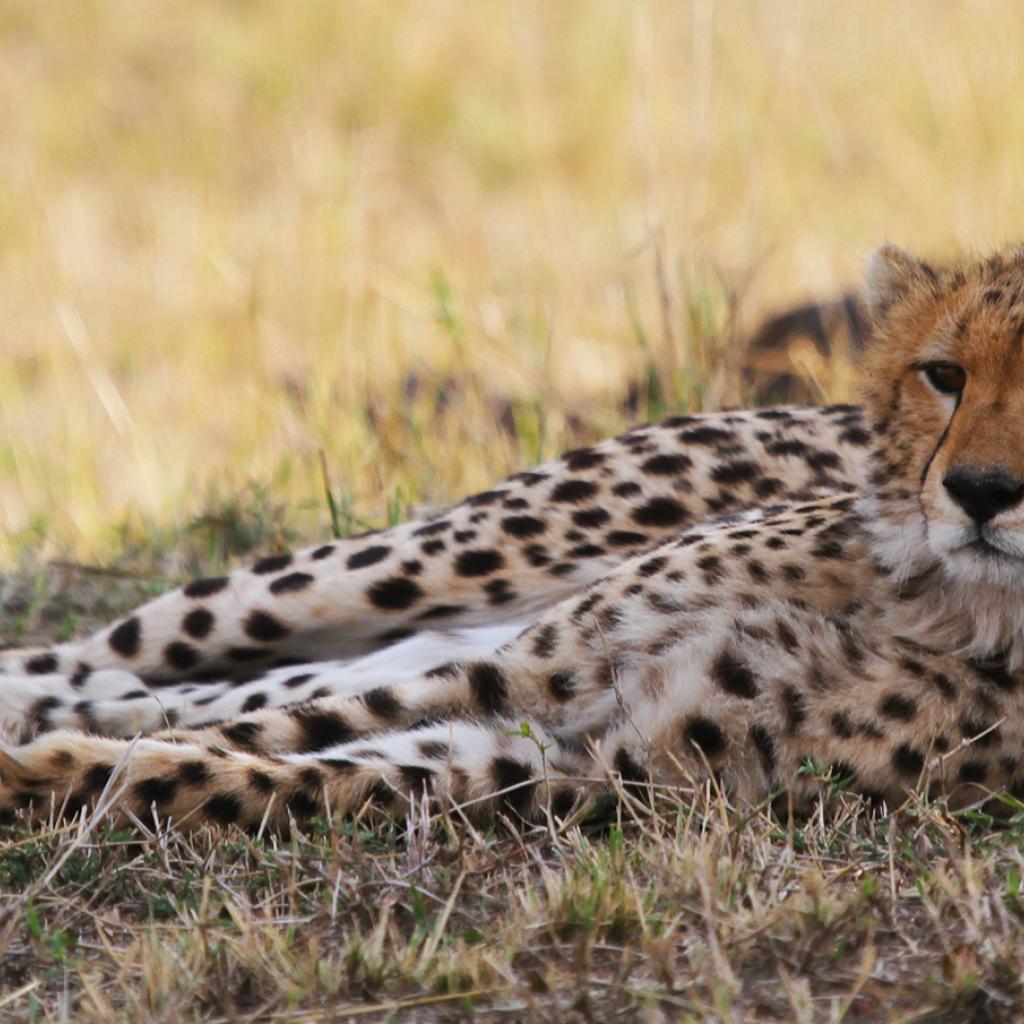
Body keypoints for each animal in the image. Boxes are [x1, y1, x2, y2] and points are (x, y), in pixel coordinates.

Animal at [2, 243, 1024, 835]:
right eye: (944, 374)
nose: (984, 492)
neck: (939, 599)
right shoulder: (529, 672)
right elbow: (259, 732)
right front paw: (40, 765)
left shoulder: (596, 766)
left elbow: (264, 767)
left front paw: (64, 769)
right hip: (439, 559)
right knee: (117, 648)